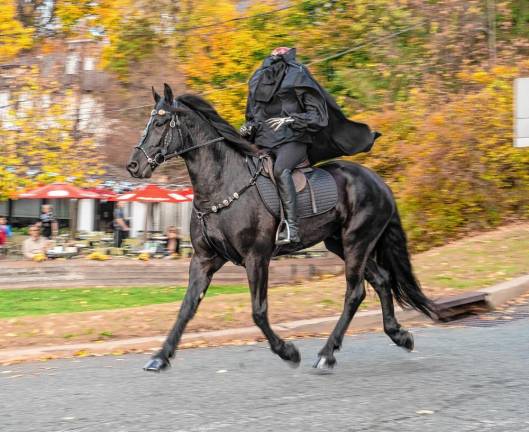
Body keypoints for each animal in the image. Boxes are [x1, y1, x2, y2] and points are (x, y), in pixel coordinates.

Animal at [126, 83, 436, 372]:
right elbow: (187, 307)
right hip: (342, 244)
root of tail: (379, 183)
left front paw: (288, 351)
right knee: (381, 280)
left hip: (356, 242)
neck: (222, 183)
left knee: (355, 292)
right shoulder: (204, 259)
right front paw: (160, 357)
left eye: (160, 123)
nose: (134, 166)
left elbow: (258, 311)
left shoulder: (256, 257)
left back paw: (327, 353)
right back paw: (398, 335)